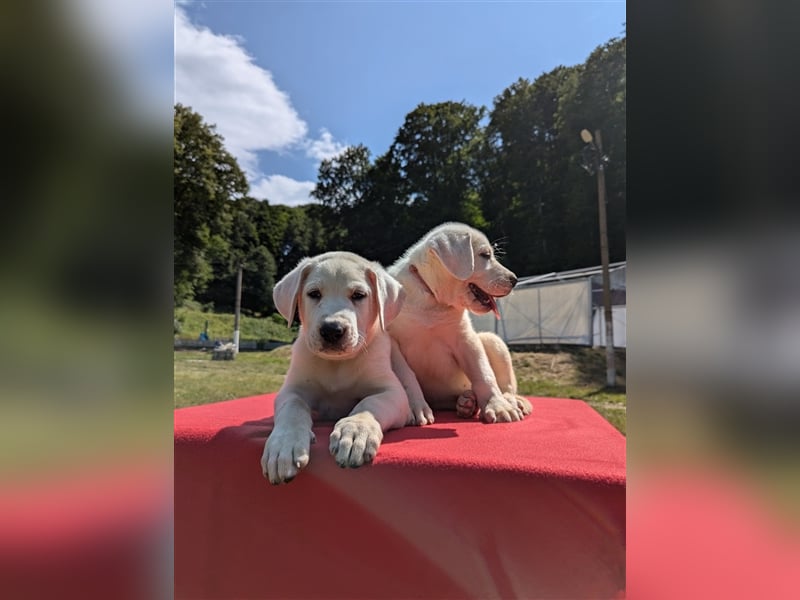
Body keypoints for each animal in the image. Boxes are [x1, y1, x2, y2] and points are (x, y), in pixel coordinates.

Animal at [262, 251, 412, 486]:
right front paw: (283, 446)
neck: (337, 364)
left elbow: (369, 403)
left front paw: (356, 431)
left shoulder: (392, 392)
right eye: (314, 293)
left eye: (359, 295)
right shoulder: (292, 390)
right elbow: (293, 407)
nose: (332, 330)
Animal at [390, 223, 536, 424]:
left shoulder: (466, 340)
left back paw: (511, 401)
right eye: (485, 255)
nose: (514, 280)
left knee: (507, 386)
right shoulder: (393, 344)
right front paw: (415, 408)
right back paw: (466, 403)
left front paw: (498, 406)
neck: (433, 300)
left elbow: (484, 374)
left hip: (493, 341)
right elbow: (407, 378)